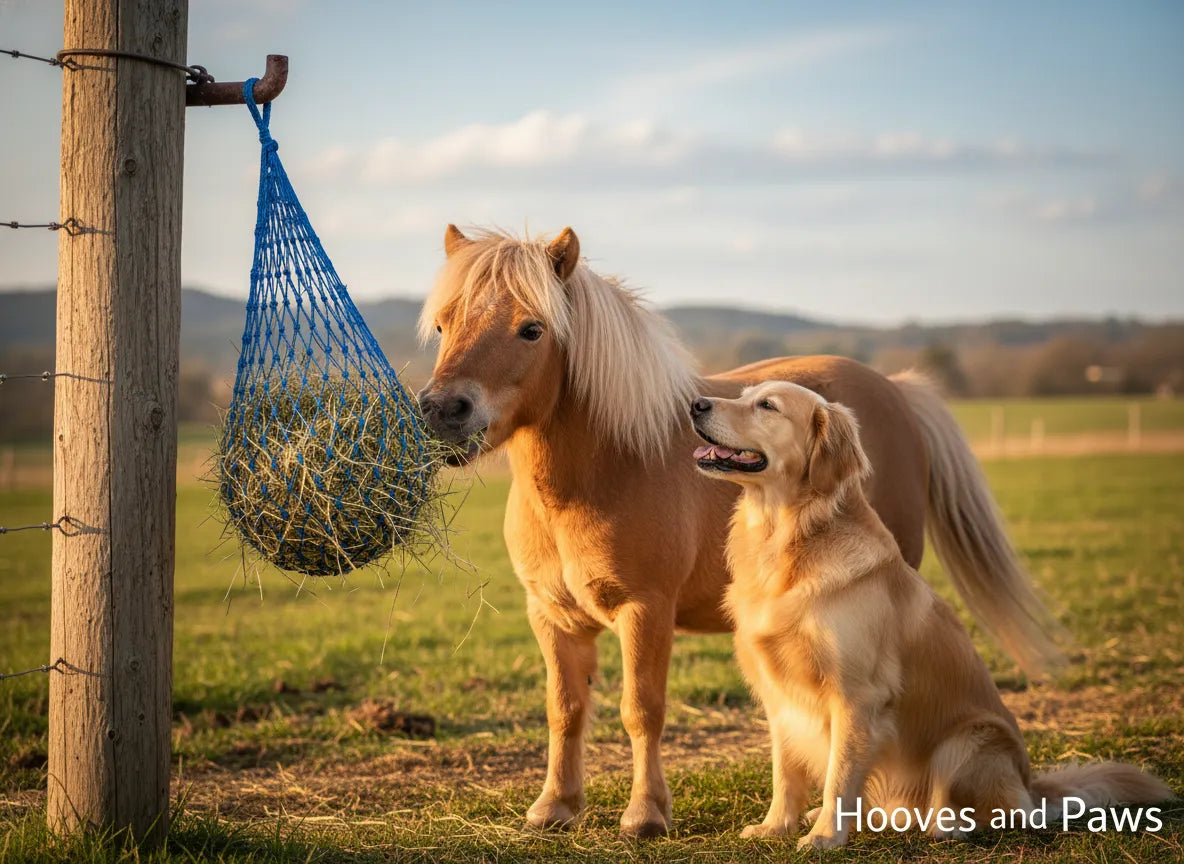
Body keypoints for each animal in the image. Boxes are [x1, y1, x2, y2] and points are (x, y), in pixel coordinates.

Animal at [416, 225, 1062, 838]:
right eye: (445, 324)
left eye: (531, 329)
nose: (443, 411)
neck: (604, 470)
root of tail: (896, 391)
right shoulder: (551, 616)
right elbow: (565, 710)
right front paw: (555, 807)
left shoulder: (645, 610)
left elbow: (640, 710)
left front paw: (645, 816)